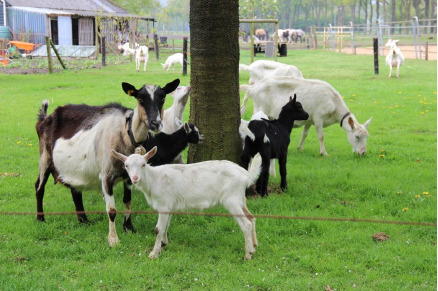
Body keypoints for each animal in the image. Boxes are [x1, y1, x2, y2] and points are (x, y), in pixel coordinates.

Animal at [33, 78, 181, 248]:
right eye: (140, 98)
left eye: (162, 97)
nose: (155, 123)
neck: (125, 132)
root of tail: (44, 119)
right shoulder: (106, 175)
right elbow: (111, 209)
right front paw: (113, 239)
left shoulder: (128, 176)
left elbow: (127, 201)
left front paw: (129, 228)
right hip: (44, 157)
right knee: (39, 187)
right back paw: (41, 218)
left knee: (75, 190)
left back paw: (83, 220)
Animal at [113, 148, 262, 260]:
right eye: (126, 165)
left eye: (143, 164)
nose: (135, 178)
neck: (153, 179)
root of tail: (246, 174)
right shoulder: (169, 205)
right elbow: (166, 226)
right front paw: (163, 244)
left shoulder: (163, 204)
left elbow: (158, 229)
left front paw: (154, 254)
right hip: (240, 198)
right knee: (251, 218)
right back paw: (254, 246)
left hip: (231, 200)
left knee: (246, 224)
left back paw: (248, 254)